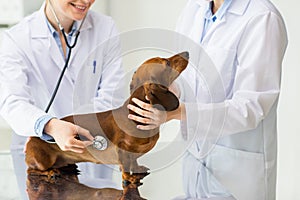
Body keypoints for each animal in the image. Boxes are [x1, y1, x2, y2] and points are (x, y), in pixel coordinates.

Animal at [26, 51, 190, 198]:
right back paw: (51, 172)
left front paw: (138, 168)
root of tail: (30, 140)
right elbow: (126, 167)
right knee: (31, 170)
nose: (187, 53)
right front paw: (130, 178)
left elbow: (134, 161)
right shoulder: (122, 149)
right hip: (43, 161)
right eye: (166, 63)